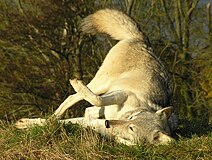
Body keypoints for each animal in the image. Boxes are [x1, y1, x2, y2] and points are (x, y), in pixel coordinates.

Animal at [15, 8, 177, 146]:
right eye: (132, 119)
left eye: (131, 128)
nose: (108, 123)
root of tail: (142, 39)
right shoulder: (124, 94)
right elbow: (97, 100)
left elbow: (71, 121)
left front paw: (28, 124)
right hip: (102, 83)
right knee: (74, 98)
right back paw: (75, 88)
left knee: (84, 109)